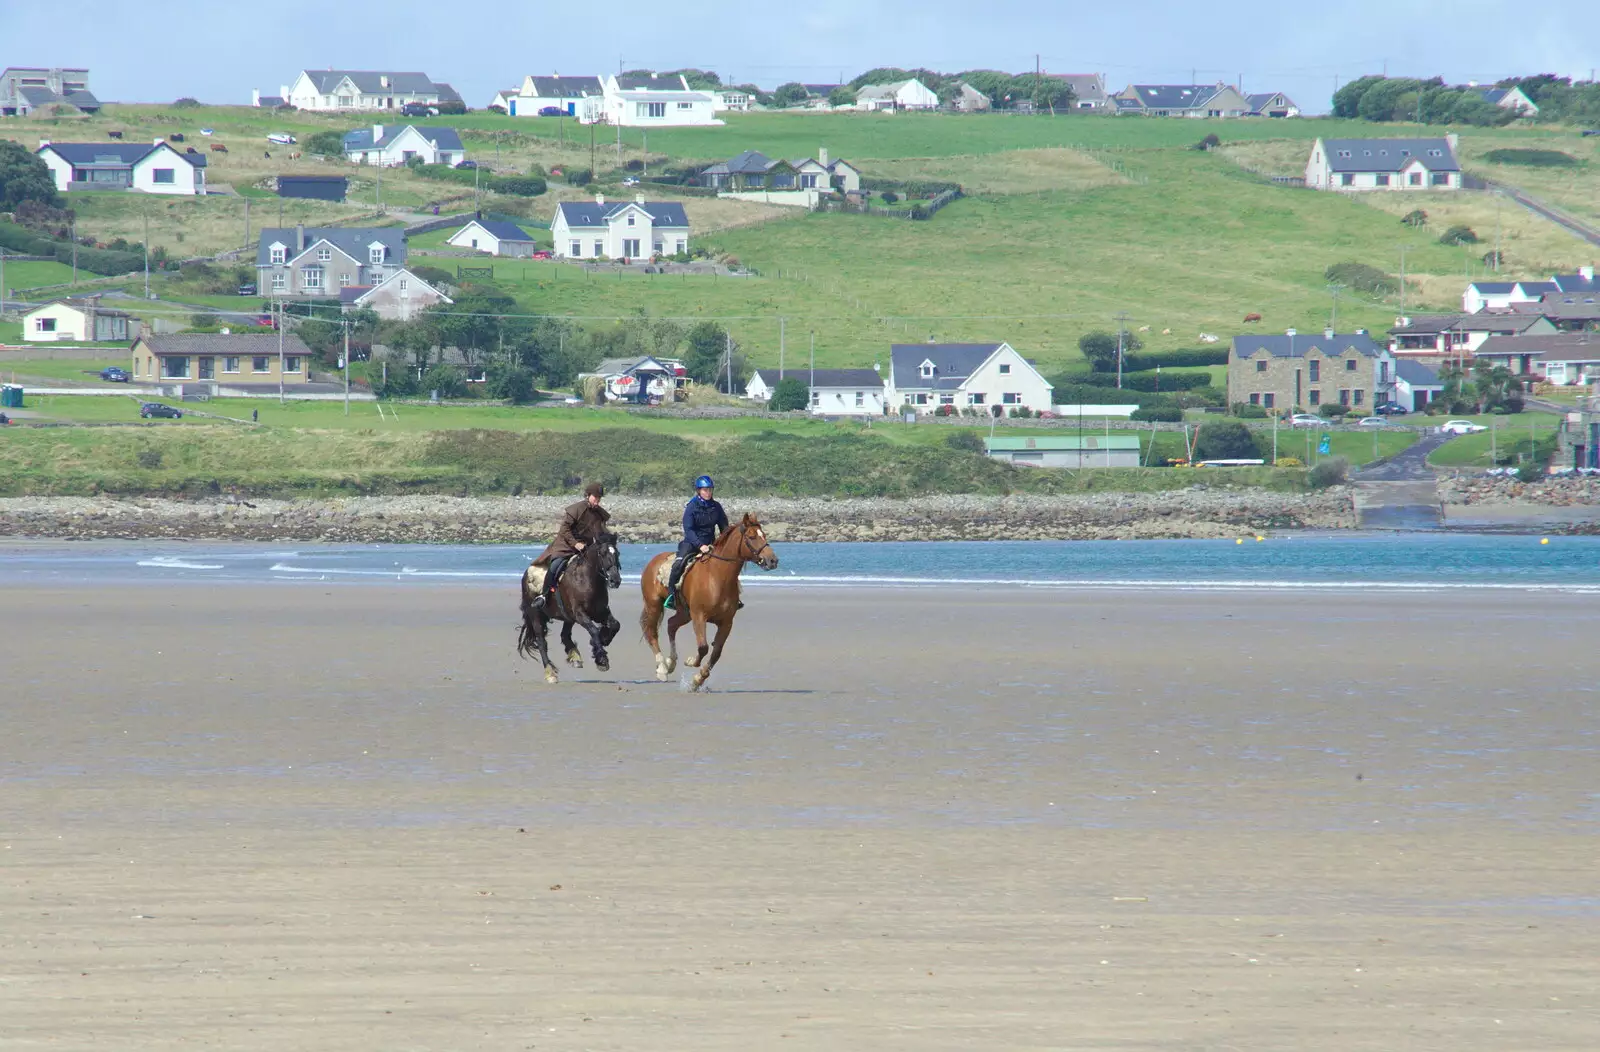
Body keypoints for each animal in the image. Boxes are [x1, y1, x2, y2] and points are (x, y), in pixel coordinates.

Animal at [524, 527, 624, 684]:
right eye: (602, 553)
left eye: (617, 553)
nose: (615, 580)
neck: (587, 580)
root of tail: (525, 575)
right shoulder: (580, 614)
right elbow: (593, 630)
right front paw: (601, 659)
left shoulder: (600, 612)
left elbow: (615, 625)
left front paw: (602, 642)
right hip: (535, 614)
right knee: (541, 641)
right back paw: (550, 673)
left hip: (567, 617)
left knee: (565, 635)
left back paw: (574, 657)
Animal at [643, 514, 780, 693]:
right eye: (751, 537)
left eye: (763, 535)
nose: (773, 560)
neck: (718, 576)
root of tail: (653, 562)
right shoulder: (699, 616)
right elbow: (703, 647)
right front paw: (690, 662)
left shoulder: (726, 622)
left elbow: (716, 652)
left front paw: (697, 680)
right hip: (654, 605)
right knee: (652, 633)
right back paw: (662, 669)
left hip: (684, 613)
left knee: (671, 625)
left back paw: (671, 662)